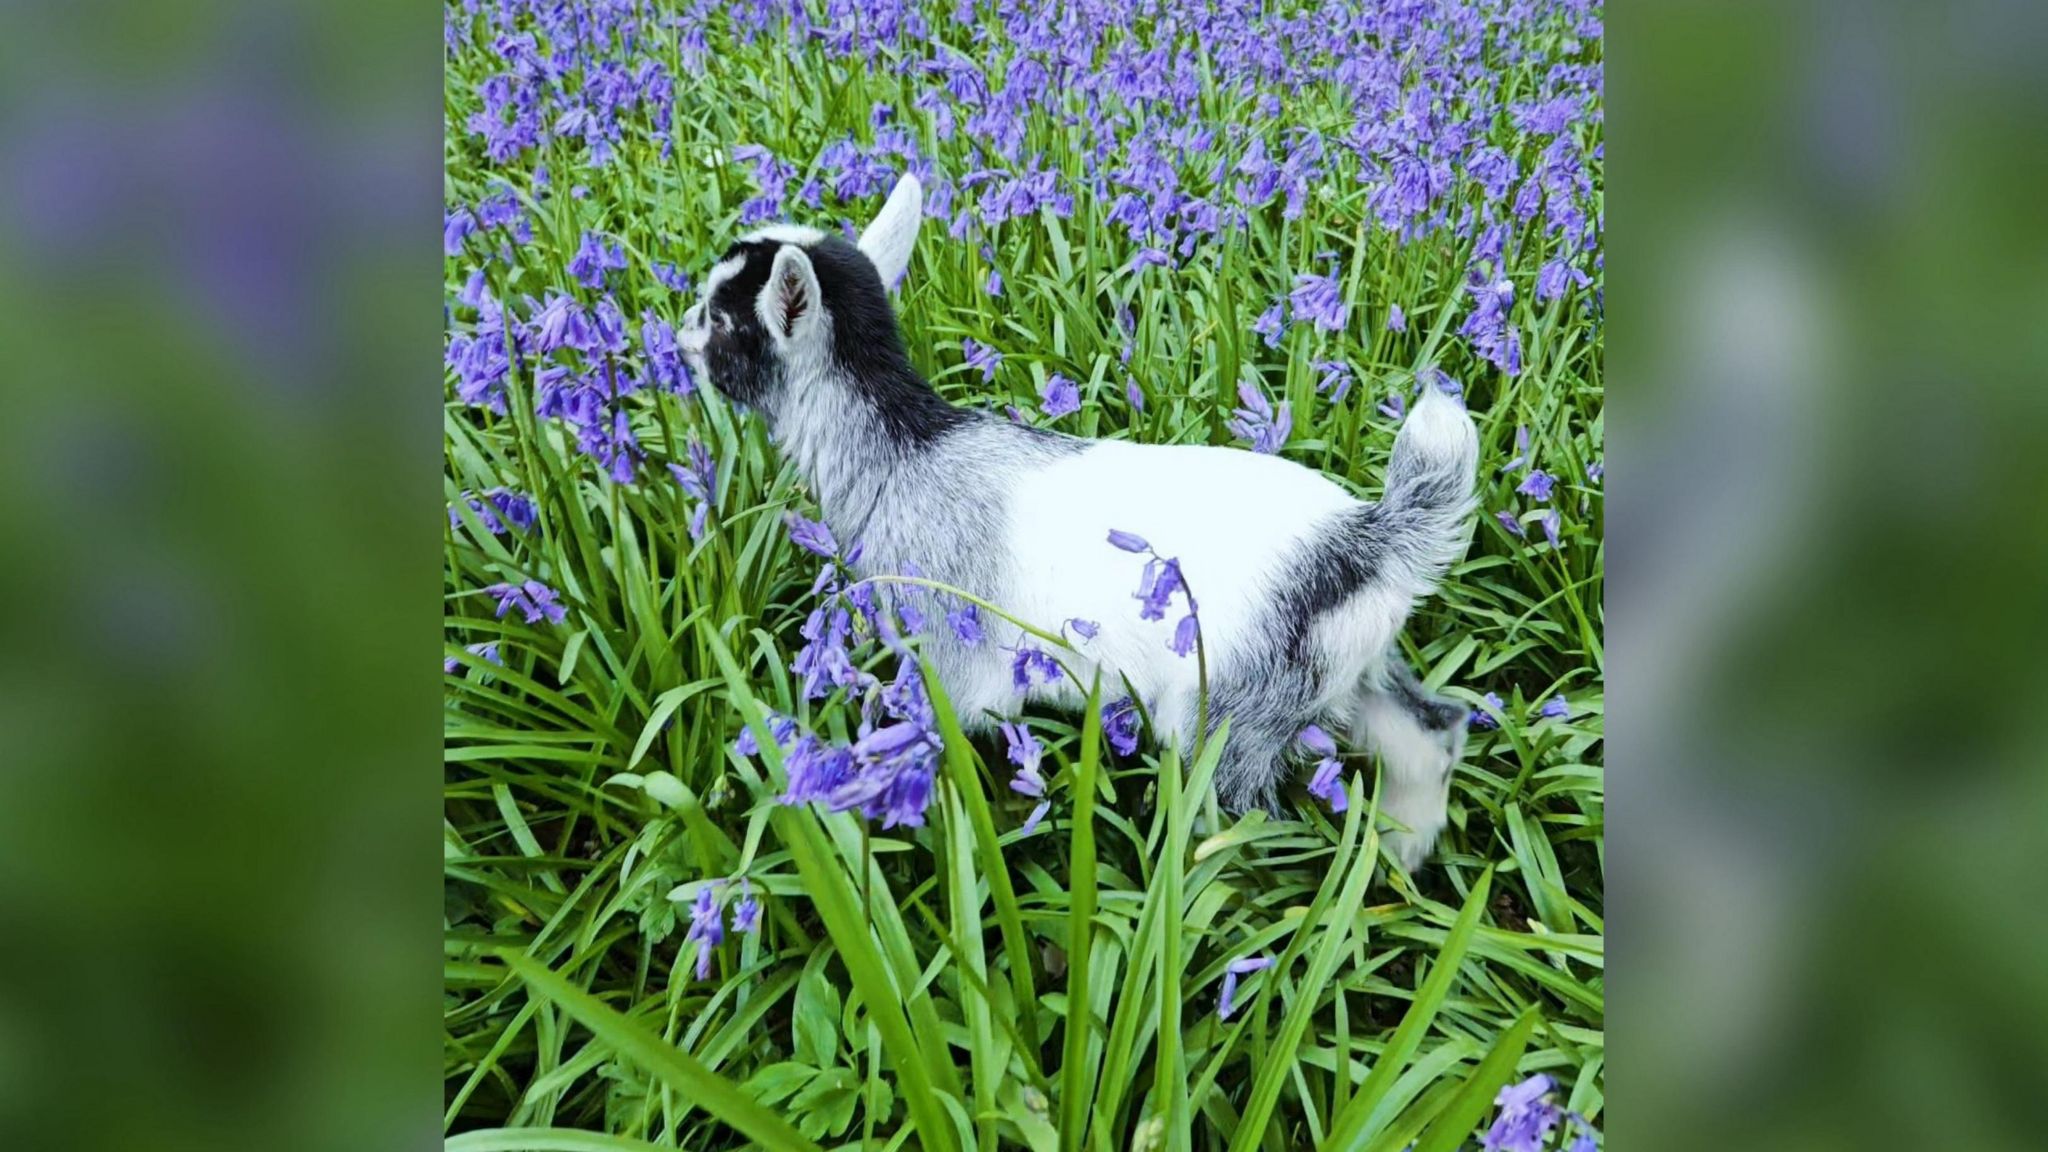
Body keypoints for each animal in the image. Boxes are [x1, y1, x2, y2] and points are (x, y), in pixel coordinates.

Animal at [679, 175, 1482, 865]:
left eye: (720, 318)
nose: (680, 326)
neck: (905, 452)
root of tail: (1366, 541)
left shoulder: (955, 661)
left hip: (1228, 713)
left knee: (1243, 822)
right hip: (1351, 672)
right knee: (1431, 733)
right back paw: (1404, 853)